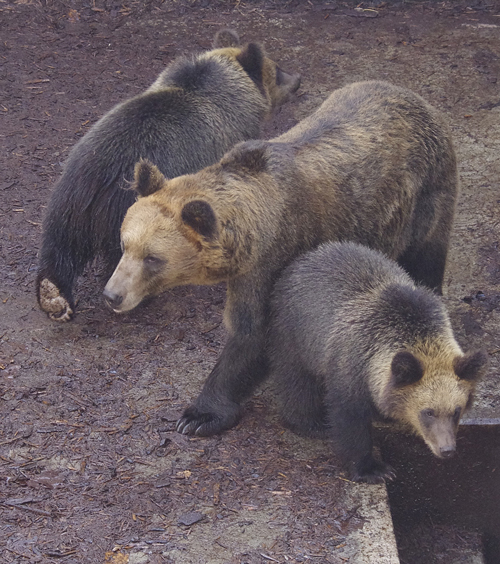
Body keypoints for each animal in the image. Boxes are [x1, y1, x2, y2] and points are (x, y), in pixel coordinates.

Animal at [37, 29, 300, 322]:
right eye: (277, 70)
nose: (297, 80)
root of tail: (100, 179)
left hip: (68, 197)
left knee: (59, 246)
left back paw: (53, 296)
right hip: (123, 206)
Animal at [103, 80, 458, 436]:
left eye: (152, 258)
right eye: (124, 244)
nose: (112, 295)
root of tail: (414, 97)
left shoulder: (274, 259)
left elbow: (252, 334)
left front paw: (199, 415)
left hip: (426, 194)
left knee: (425, 259)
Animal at [268, 240, 486, 482]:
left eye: (456, 410)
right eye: (428, 412)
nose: (446, 449)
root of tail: (310, 255)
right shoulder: (349, 367)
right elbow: (350, 420)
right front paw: (372, 468)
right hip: (296, 333)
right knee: (296, 379)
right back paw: (308, 421)